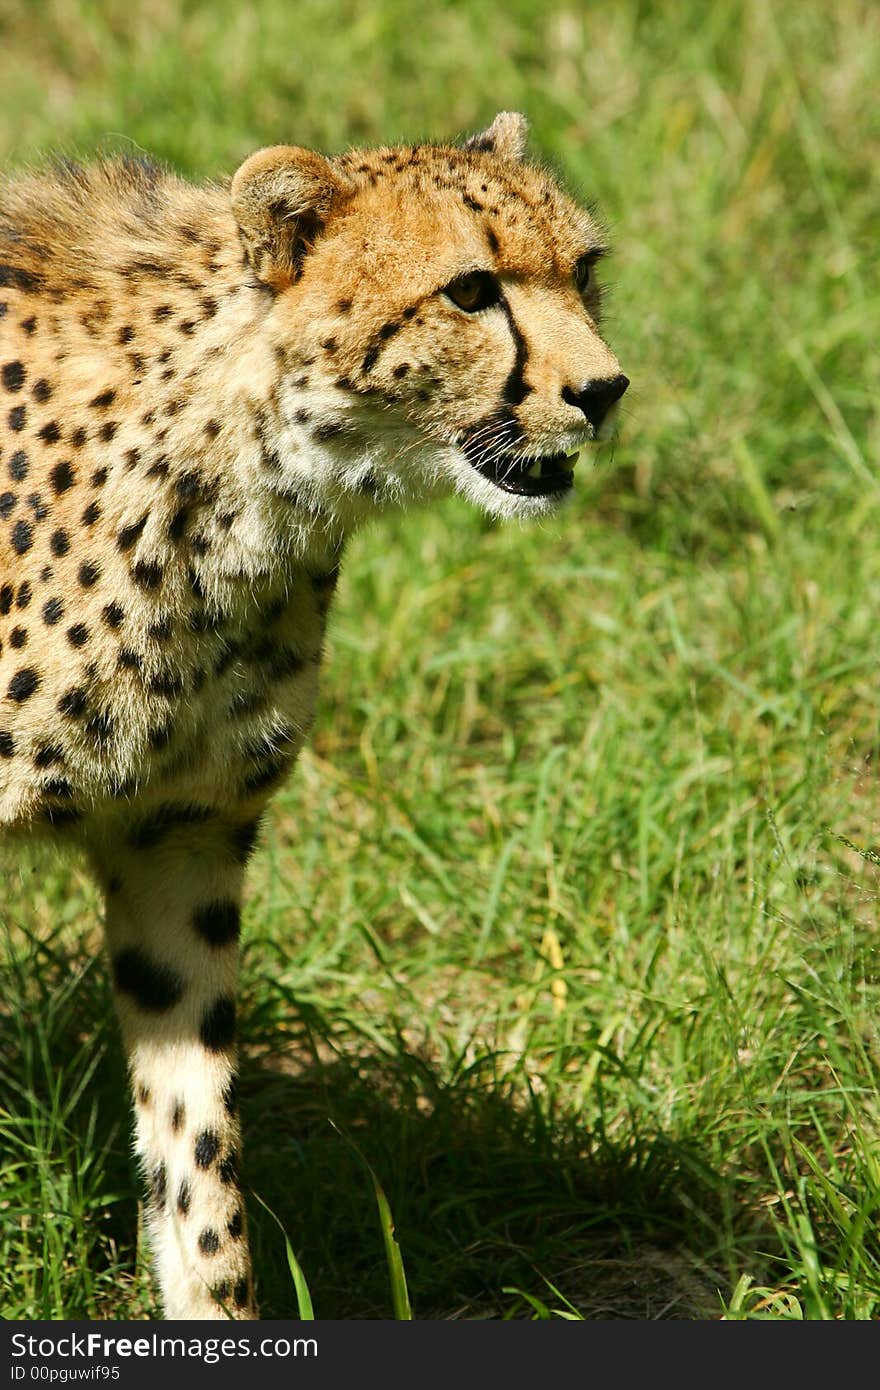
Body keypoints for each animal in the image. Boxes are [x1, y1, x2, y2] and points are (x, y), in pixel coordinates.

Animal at [3, 113, 628, 1317]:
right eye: (471, 290)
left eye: (583, 271)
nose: (605, 390)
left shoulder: (180, 840)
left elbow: (197, 1151)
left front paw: (213, 1302)